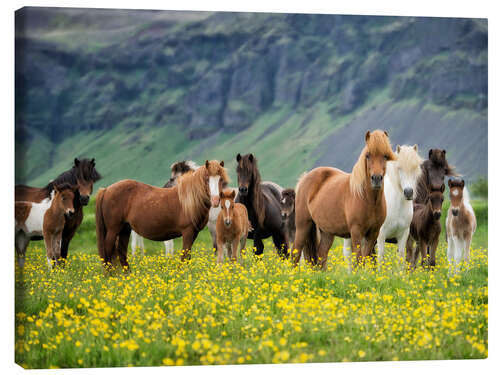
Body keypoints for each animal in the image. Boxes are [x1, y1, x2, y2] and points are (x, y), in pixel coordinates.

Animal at [95, 161, 229, 270]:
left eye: (221, 179)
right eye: (207, 179)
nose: (216, 200)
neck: (189, 199)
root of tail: (106, 190)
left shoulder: (194, 233)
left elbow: (187, 256)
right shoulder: (188, 232)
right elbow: (184, 255)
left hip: (125, 230)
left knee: (121, 252)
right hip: (113, 230)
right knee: (108, 251)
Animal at [292, 131, 394, 272]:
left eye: (385, 156)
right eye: (368, 155)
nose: (377, 178)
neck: (368, 200)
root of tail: (304, 178)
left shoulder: (373, 233)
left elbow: (366, 256)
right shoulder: (356, 232)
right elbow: (359, 258)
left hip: (327, 232)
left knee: (321, 254)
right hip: (303, 225)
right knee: (295, 252)